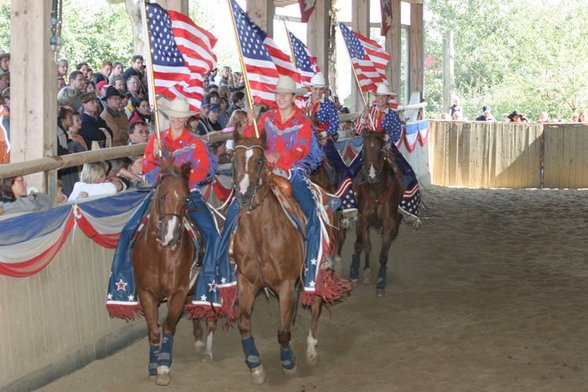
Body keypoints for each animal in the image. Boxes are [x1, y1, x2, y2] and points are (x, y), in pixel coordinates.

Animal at [230, 132, 324, 386]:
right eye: (233, 161)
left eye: (260, 160)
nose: (244, 196)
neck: (260, 237)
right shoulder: (246, 283)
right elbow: (244, 324)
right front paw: (255, 366)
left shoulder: (285, 285)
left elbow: (282, 331)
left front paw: (289, 362)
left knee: (316, 304)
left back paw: (311, 349)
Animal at [350, 132, 404, 298]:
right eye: (364, 149)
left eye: (381, 150)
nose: (372, 174)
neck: (375, 191)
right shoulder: (362, 218)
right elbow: (361, 245)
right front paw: (355, 273)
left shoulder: (389, 223)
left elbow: (383, 255)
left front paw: (381, 282)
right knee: (367, 245)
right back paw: (366, 271)